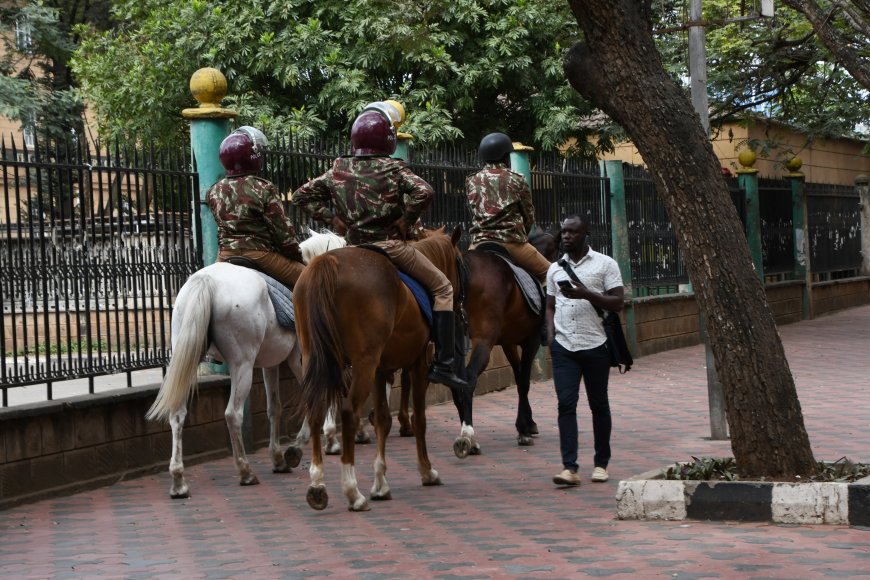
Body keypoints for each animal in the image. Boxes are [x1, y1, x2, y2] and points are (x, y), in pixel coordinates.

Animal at [147, 230, 348, 498]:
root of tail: (205, 280)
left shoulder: (271, 364)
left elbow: (274, 408)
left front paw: (278, 458)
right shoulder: (300, 359)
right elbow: (313, 397)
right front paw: (299, 448)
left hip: (187, 358)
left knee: (178, 413)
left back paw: (179, 481)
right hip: (241, 364)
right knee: (233, 414)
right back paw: (245, 472)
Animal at [292, 227, 466, 512]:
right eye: (460, 262)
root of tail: (328, 262)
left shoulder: (381, 369)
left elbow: (383, 419)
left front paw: (381, 483)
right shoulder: (418, 364)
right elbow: (419, 419)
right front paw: (426, 471)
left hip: (316, 358)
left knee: (316, 409)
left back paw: (317, 484)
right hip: (363, 362)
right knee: (349, 412)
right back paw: (352, 491)